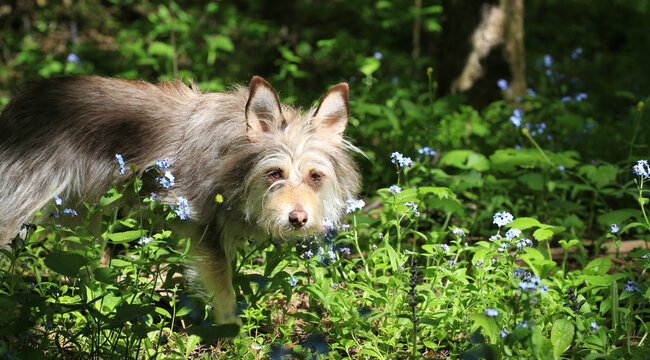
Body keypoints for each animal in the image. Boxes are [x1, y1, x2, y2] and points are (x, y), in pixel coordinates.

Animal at [0, 76, 360, 326]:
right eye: (275, 173)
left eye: (315, 177)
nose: (298, 219)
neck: (233, 154)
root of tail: (22, 99)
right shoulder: (202, 229)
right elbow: (225, 295)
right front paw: (235, 338)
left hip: (84, 214)